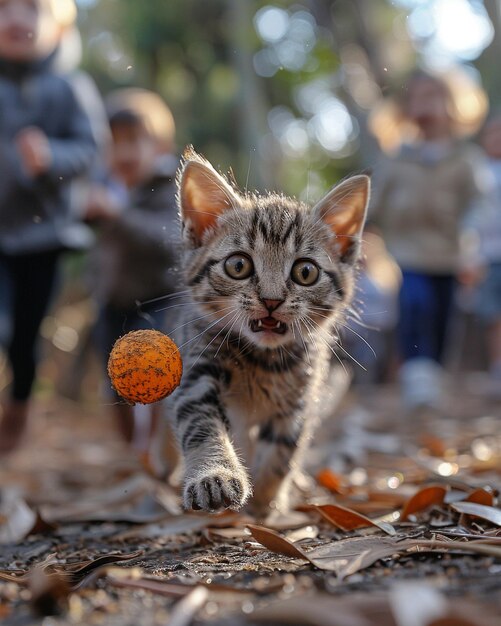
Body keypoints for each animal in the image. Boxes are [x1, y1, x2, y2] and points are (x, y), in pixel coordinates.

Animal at [168, 146, 368, 512]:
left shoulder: (300, 398)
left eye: (306, 272)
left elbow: (283, 450)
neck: (263, 359)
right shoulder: (197, 367)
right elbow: (201, 423)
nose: (272, 300)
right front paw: (215, 476)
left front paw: (265, 502)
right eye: (238, 265)